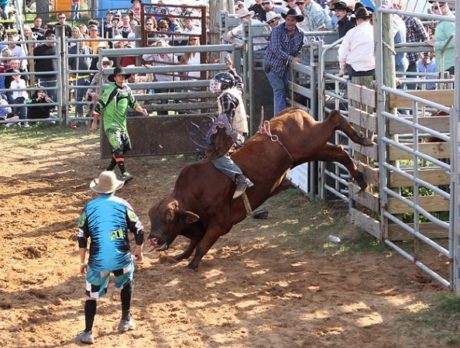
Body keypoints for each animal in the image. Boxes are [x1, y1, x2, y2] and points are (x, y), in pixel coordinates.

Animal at [149, 108, 372, 270]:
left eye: (168, 217)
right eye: (152, 218)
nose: (152, 238)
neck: (195, 194)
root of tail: (293, 111)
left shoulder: (221, 224)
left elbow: (202, 244)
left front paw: (192, 265)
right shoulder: (198, 225)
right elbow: (193, 242)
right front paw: (180, 256)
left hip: (311, 142)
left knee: (334, 119)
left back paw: (362, 141)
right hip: (312, 150)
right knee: (339, 151)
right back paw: (361, 178)